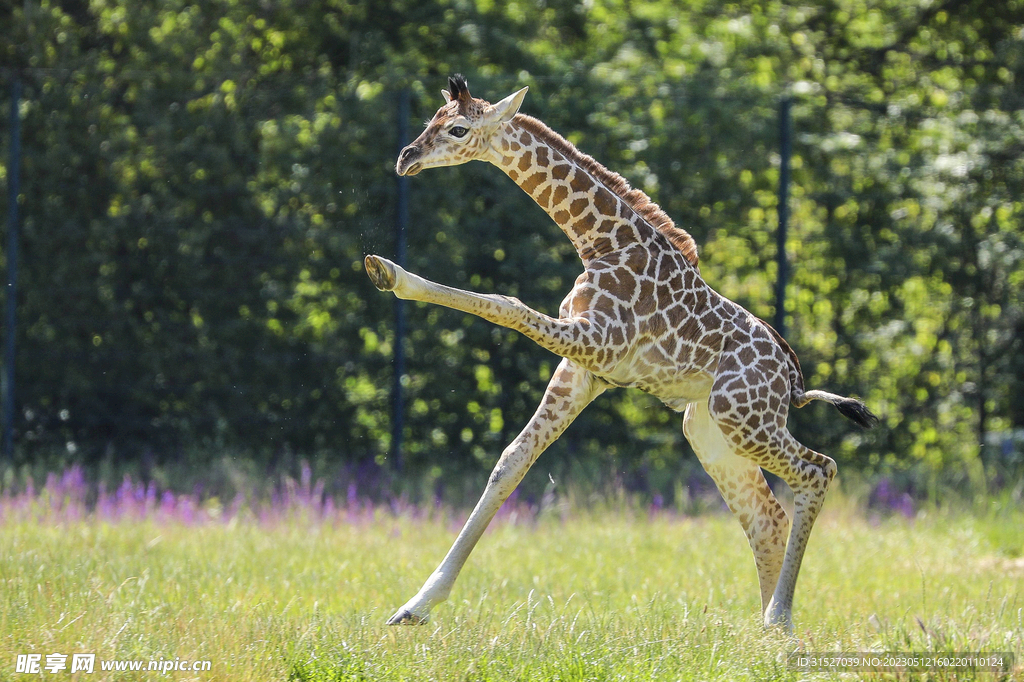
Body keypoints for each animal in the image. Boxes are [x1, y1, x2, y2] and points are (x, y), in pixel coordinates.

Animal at [364, 74, 876, 626]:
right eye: (429, 120)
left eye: (457, 128)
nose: (406, 157)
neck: (601, 243)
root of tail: (794, 383)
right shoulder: (583, 370)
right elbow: (509, 464)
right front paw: (415, 607)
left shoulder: (598, 342)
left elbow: (507, 305)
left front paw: (390, 272)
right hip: (710, 431)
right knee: (767, 517)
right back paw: (771, 635)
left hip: (742, 416)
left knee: (818, 471)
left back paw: (778, 619)